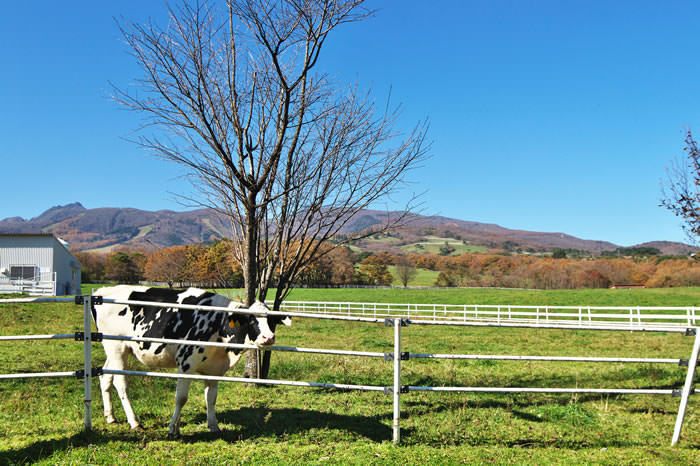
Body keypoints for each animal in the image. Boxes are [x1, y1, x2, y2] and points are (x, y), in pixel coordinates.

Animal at [91, 286, 288, 436]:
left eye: (272, 320)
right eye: (251, 320)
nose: (268, 337)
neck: (218, 324)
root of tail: (102, 291)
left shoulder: (215, 369)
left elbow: (211, 398)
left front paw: (213, 426)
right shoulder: (185, 363)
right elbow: (181, 398)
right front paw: (173, 428)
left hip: (112, 351)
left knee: (105, 377)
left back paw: (110, 417)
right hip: (117, 348)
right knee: (121, 383)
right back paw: (134, 422)